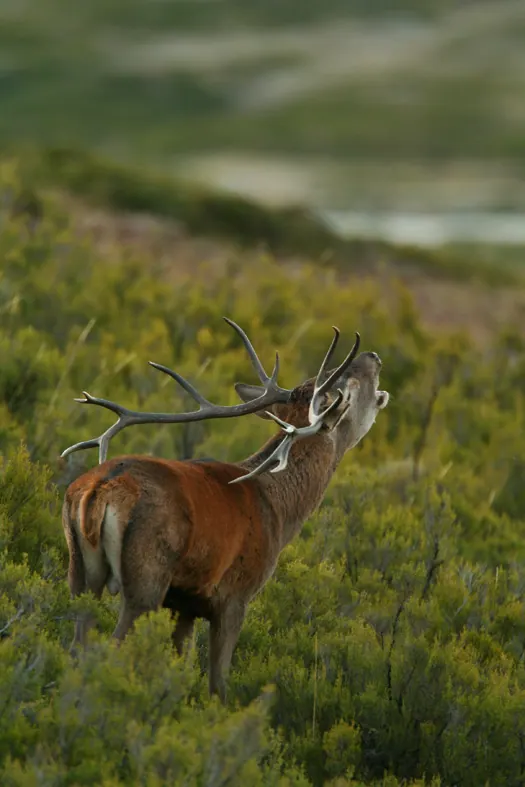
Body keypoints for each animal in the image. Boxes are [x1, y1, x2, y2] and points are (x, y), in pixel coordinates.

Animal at [60, 318, 389, 701]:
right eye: (348, 384)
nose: (374, 356)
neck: (280, 509)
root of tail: (96, 489)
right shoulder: (235, 596)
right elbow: (218, 683)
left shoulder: (184, 602)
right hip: (146, 578)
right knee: (112, 647)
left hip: (80, 573)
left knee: (77, 646)